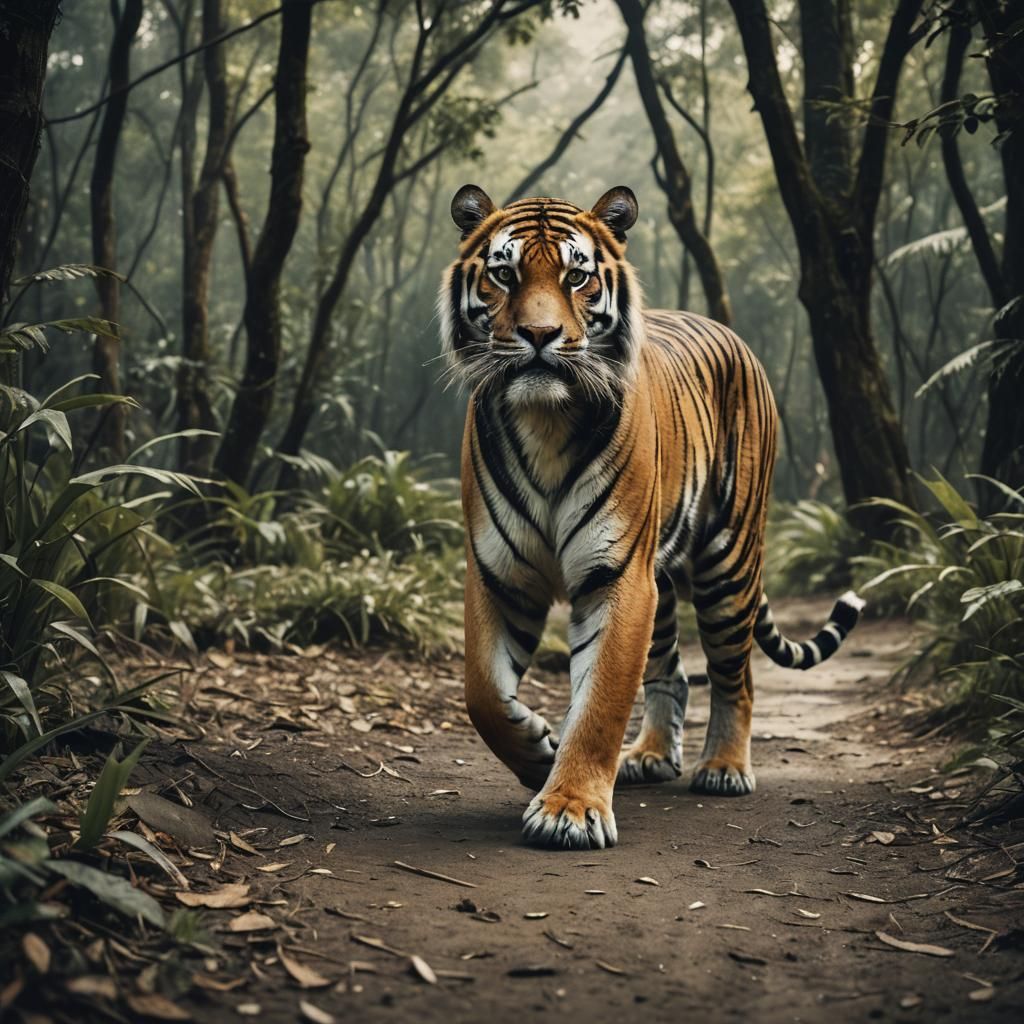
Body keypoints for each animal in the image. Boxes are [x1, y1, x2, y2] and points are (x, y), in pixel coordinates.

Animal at [438, 184, 864, 850]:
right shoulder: (498, 571)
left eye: (577, 276)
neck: (544, 420)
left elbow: (602, 699)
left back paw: (724, 769)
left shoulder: (618, 578)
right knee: (673, 672)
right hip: (662, 583)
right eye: (504, 274)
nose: (539, 334)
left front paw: (569, 810)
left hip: (727, 564)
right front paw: (536, 753)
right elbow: (482, 692)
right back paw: (651, 756)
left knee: (734, 675)